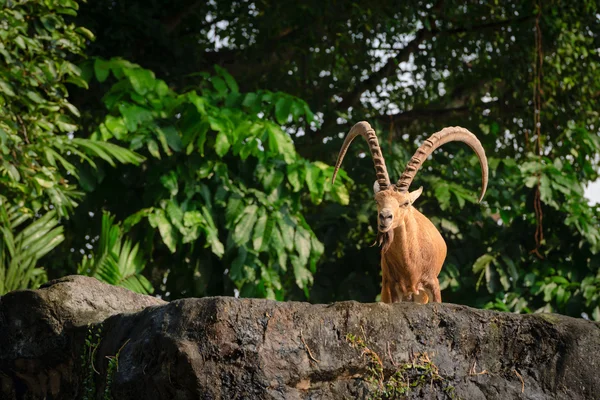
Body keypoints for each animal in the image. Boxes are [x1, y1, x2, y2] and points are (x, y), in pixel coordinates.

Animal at [332, 122, 488, 304]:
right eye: (377, 200)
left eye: (405, 203)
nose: (384, 217)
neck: (411, 265)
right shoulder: (393, 287)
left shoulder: (432, 283)